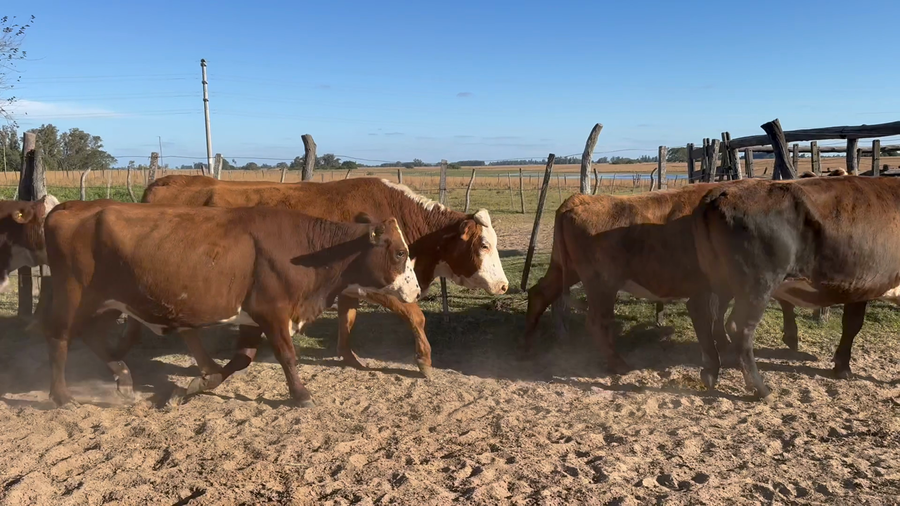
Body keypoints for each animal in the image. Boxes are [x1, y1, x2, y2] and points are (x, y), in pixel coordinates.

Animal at [40, 199, 420, 408]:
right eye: (400, 253)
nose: (416, 292)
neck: (304, 250)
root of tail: (68, 208)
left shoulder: (252, 318)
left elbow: (241, 360)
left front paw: (197, 385)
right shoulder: (272, 312)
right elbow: (287, 356)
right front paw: (300, 394)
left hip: (108, 303)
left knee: (91, 335)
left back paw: (121, 375)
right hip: (74, 297)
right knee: (58, 338)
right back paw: (61, 396)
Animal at [109, 176, 508, 379]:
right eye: (484, 244)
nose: (504, 285)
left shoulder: (348, 288)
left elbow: (348, 319)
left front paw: (349, 357)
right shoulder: (379, 285)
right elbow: (416, 316)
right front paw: (424, 361)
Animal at [694, 175, 900, 399]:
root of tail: (721, 193)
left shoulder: (859, 286)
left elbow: (851, 324)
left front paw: (842, 367)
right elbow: (854, 325)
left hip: (718, 280)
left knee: (706, 315)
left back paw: (711, 371)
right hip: (758, 285)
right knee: (739, 328)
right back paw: (760, 388)